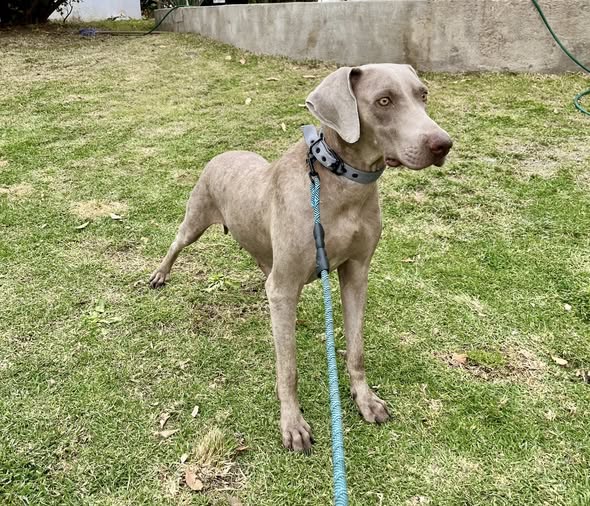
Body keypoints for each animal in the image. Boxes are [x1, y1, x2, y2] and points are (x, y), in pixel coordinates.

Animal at [150, 64, 452, 452]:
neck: (340, 184)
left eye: (423, 94)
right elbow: (288, 367)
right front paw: (293, 424)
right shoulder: (285, 285)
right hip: (196, 218)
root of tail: (222, 154)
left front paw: (365, 399)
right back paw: (160, 274)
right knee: (177, 243)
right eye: (383, 101)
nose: (442, 143)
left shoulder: (356, 272)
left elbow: (356, 348)